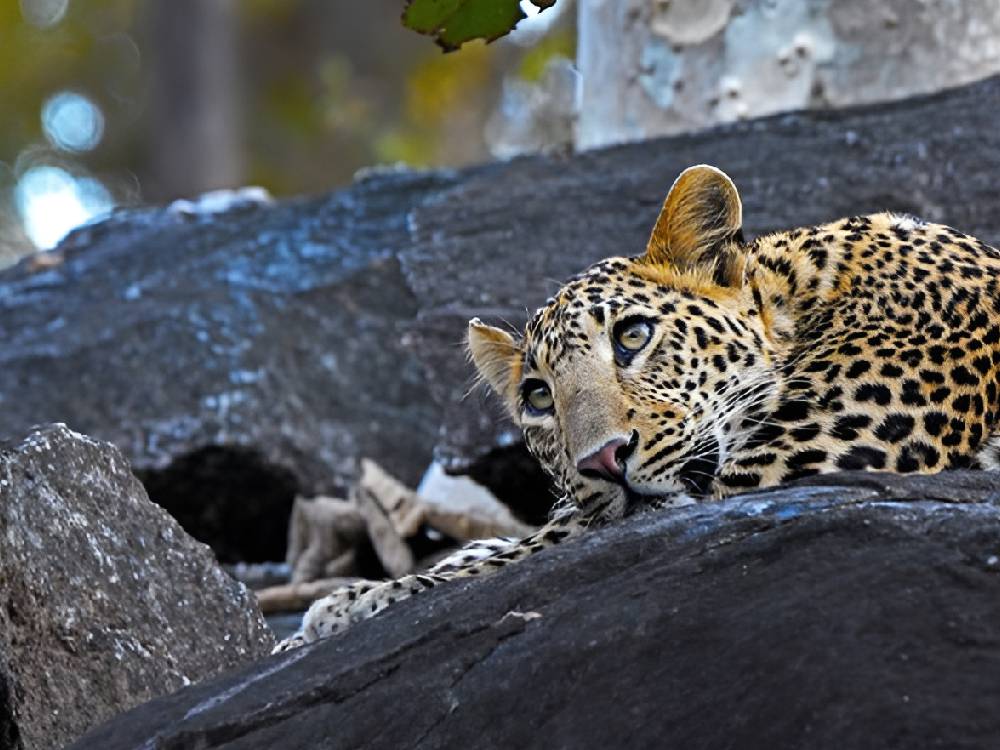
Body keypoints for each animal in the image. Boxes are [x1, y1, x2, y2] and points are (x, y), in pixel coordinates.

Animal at [275, 164, 1000, 652]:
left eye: (632, 337)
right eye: (537, 397)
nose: (603, 461)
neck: (798, 296)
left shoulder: (770, 477)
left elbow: (517, 557)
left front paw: (350, 605)